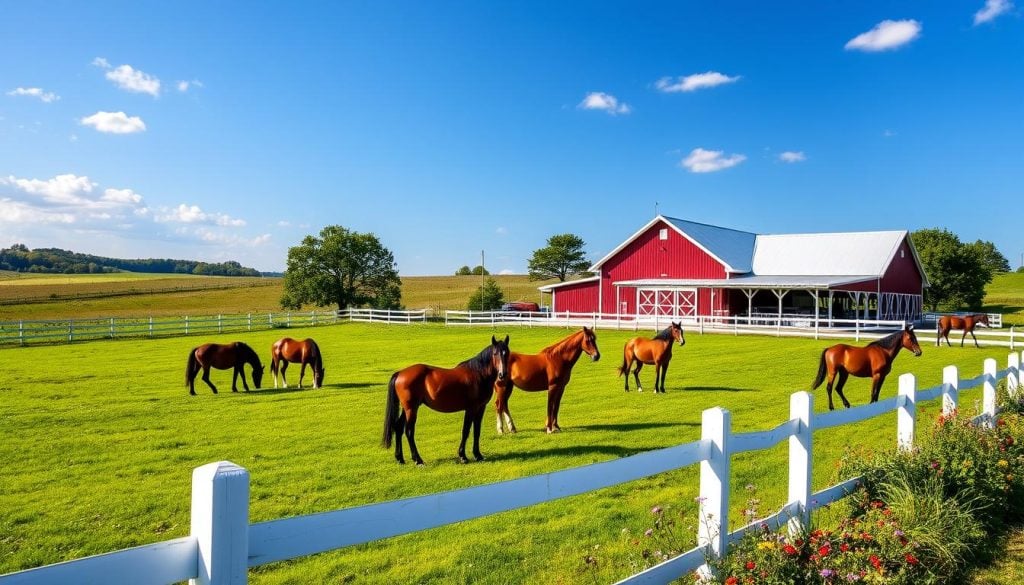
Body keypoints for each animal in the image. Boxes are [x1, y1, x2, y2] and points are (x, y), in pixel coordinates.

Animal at [382, 336, 509, 465]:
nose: (502, 374)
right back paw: (418, 460)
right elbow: (466, 431)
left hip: (407, 408)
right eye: (495, 353)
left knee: (398, 427)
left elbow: (476, 431)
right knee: (409, 431)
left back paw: (400, 458)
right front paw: (463, 456)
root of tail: (400, 373)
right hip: (411, 409)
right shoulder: (471, 409)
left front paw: (478, 455)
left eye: (507, 353)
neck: (478, 373)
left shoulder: (481, 407)